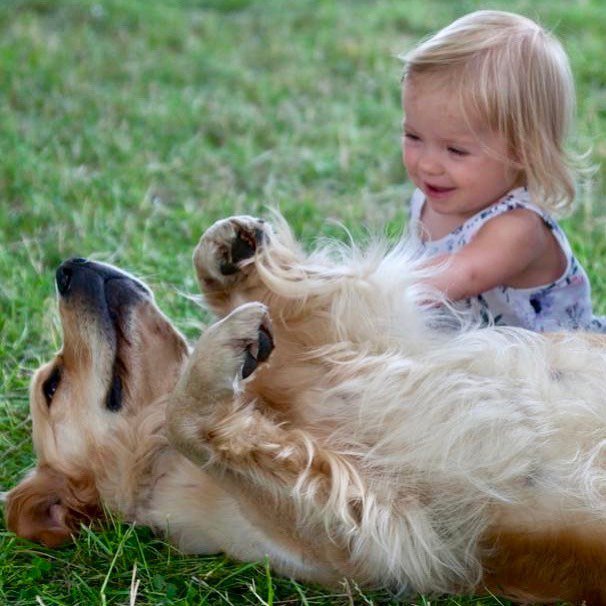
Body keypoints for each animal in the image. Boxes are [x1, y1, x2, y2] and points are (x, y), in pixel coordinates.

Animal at [5, 216, 606, 604]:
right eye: (53, 385)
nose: (67, 266)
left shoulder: (362, 339)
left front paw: (229, 254)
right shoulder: (375, 536)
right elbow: (186, 422)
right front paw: (212, 358)